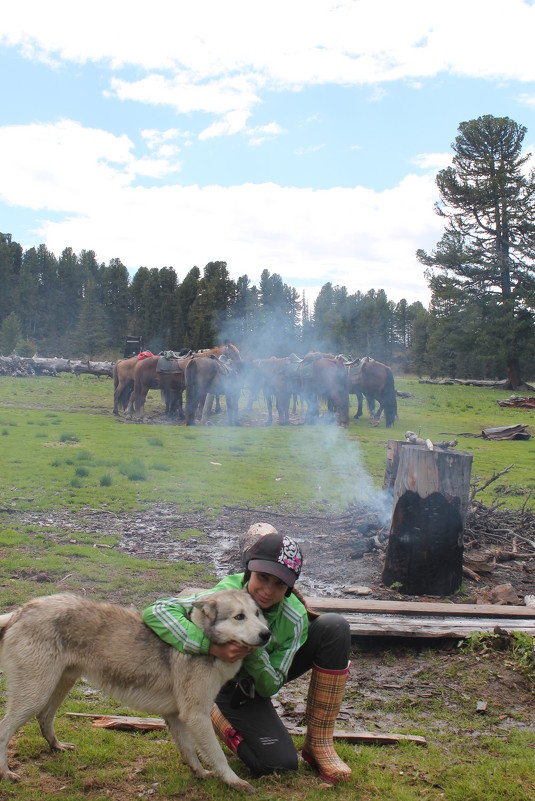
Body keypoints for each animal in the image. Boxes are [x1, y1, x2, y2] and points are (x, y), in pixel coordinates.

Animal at [0, 592, 270, 792]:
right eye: (239, 617)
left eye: (257, 613)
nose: (267, 634)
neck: (205, 639)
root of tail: (22, 610)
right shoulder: (196, 715)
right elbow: (217, 755)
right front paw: (235, 782)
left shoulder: (176, 716)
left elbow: (189, 751)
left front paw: (200, 773)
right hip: (35, 695)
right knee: (5, 729)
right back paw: (6, 772)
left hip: (59, 685)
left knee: (45, 718)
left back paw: (57, 747)